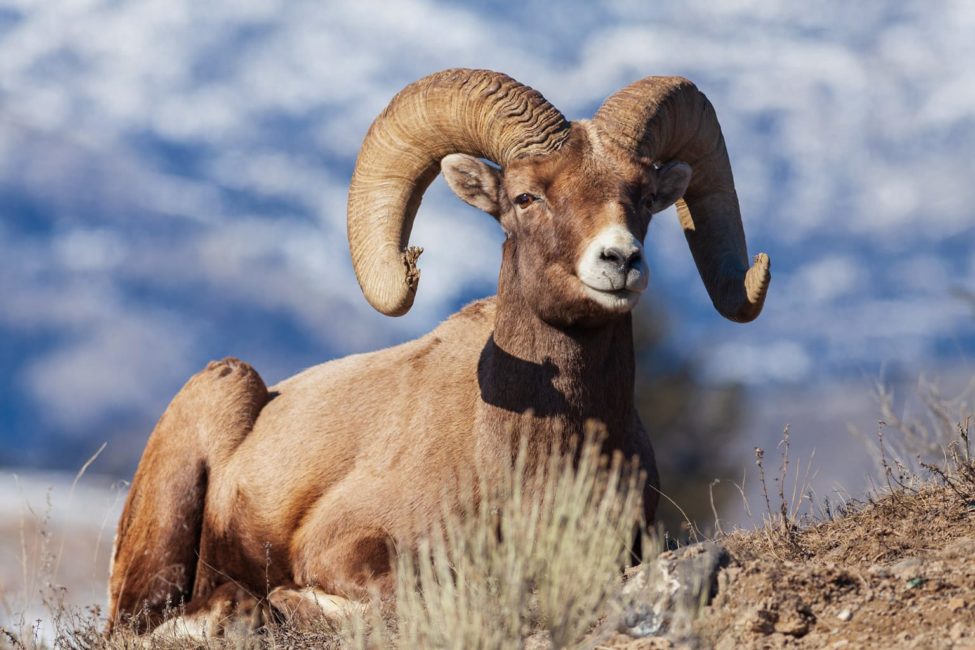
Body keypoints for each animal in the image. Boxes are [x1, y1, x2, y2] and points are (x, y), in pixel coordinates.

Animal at [106, 68, 770, 637]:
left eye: (644, 197)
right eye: (526, 197)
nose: (621, 260)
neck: (533, 458)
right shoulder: (349, 545)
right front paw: (290, 602)